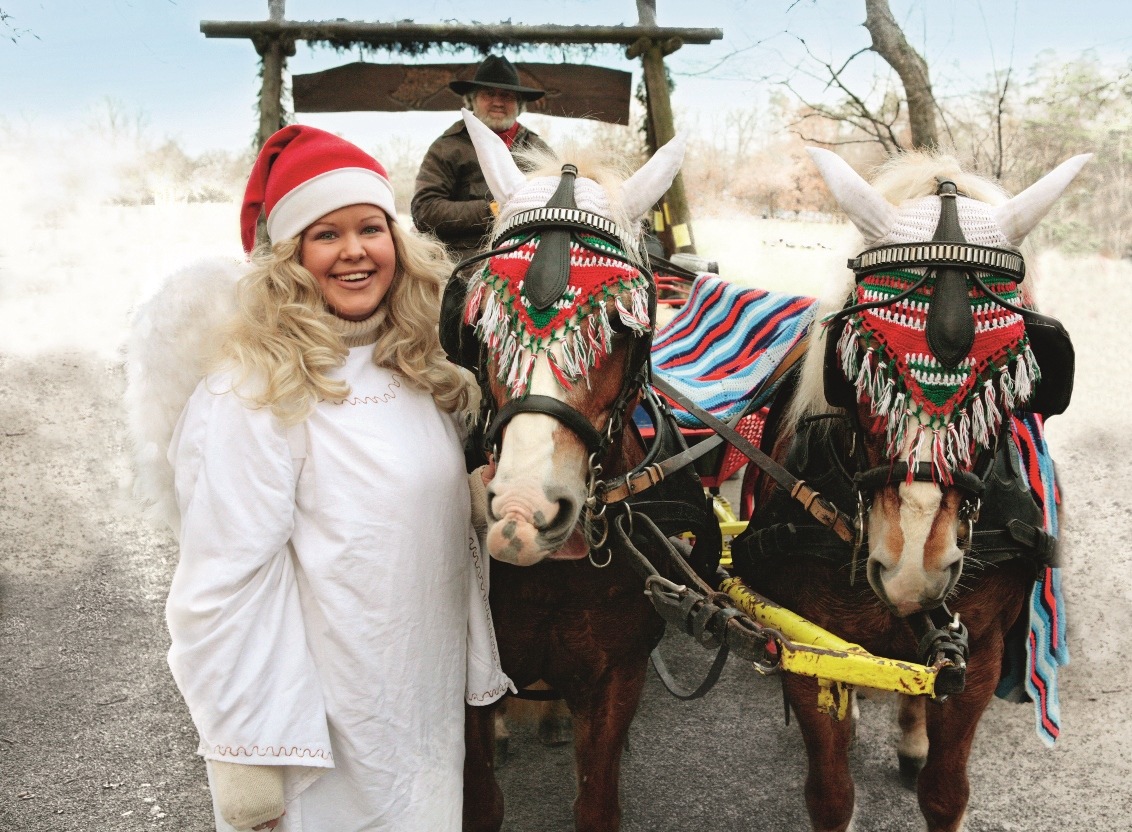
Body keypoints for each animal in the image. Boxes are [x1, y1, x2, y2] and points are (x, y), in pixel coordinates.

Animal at [450, 112, 697, 832]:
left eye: (620, 324)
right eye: (482, 320)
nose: (522, 514)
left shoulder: (619, 676)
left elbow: (597, 802)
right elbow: (481, 800)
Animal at [733, 148, 1086, 832]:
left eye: (1011, 371)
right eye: (860, 360)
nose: (912, 565)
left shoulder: (979, 657)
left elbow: (945, 792)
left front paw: (923, 749)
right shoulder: (802, 646)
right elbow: (830, 794)